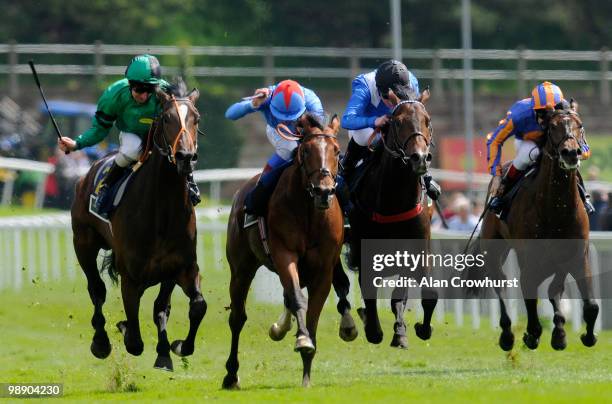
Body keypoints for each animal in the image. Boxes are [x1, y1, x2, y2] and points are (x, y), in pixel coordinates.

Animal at [68, 77, 204, 370]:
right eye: (166, 118)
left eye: (196, 118)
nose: (186, 156)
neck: (162, 212)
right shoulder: (131, 276)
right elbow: (134, 339)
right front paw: (124, 330)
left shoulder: (183, 267)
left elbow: (192, 306)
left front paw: (175, 347)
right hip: (83, 243)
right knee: (96, 289)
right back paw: (101, 341)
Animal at [224, 113, 344, 388]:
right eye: (306, 150)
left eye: (337, 150)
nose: (323, 191)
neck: (311, 213)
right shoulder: (284, 254)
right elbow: (298, 299)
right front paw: (302, 339)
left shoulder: (324, 269)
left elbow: (313, 315)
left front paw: (307, 372)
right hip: (241, 268)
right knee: (237, 317)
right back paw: (231, 374)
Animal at [346, 90, 438, 348]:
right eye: (397, 122)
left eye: (427, 120)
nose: (419, 158)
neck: (395, 200)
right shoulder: (365, 248)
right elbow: (368, 289)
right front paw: (374, 330)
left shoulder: (417, 248)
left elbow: (419, 294)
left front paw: (408, 331)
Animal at [474, 99, 596, 352]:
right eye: (553, 127)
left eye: (579, 125)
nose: (571, 152)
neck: (556, 209)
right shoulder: (528, 260)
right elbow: (530, 295)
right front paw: (532, 334)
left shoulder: (578, 255)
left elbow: (588, 304)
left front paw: (580, 335)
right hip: (493, 249)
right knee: (500, 282)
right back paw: (507, 334)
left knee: (552, 288)